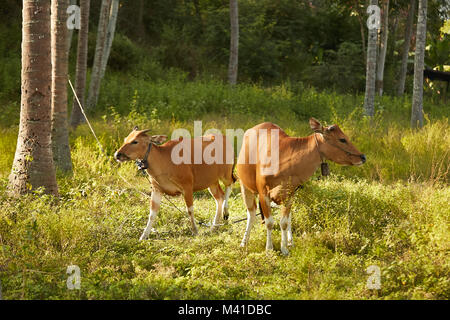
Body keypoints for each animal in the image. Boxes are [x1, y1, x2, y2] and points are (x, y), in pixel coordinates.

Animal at [236, 118, 366, 255]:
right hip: (244, 185)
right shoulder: (263, 192)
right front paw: (269, 249)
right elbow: (269, 222)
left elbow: (284, 222)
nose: (363, 157)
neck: (285, 161)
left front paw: (284, 249)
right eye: (342, 139)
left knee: (288, 218)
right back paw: (244, 242)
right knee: (251, 214)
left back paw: (290, 242)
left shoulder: (291, 194)